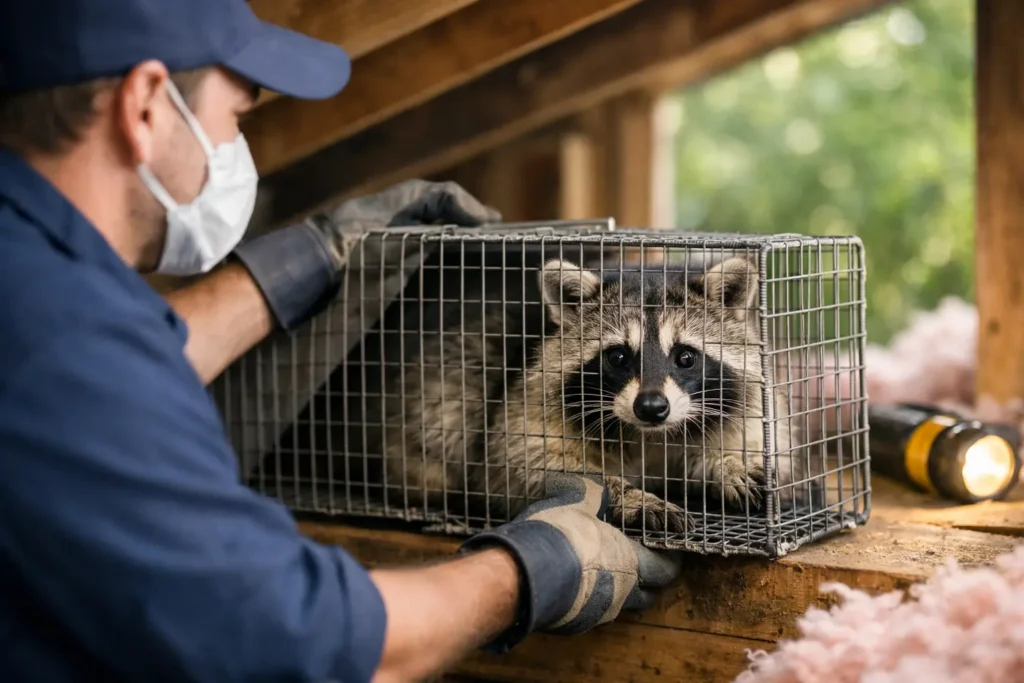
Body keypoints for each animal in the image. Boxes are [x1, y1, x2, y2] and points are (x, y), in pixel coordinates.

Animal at [376, 255, 798, 533]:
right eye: (619, 356)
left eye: (685, 357)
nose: (651, 407)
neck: (649, 435)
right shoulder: (529, 397)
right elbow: (525, 463)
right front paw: (629, 496)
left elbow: (753, 437)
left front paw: (728, 464)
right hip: (449, 375)